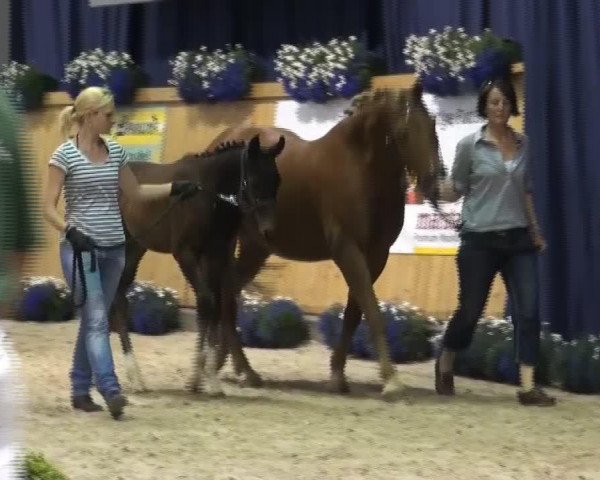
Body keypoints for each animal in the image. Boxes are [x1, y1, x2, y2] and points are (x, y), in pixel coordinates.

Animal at [110, 133, 286, 396]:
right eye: (254, 179)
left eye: (277, 179)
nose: (270, 231)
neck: (209, 194)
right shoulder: (186, 254)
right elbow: (206, 301)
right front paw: (197, 378)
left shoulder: (215, 255)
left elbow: (216, 306)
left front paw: (209, 379)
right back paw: (133, 377)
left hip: (135, 248)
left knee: (120, 296)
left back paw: (136, 377)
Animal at [209, 84, 442, 400]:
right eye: (404, 132)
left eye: (432, 125)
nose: (436, 183)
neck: (360, 168)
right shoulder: (347, 250)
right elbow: (372, 309)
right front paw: (391, 380)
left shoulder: (376, 256)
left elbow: (355, 312)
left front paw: (337, 376)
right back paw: (237, 368)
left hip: (255, 248)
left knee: (229, 291)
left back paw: (237, 367)